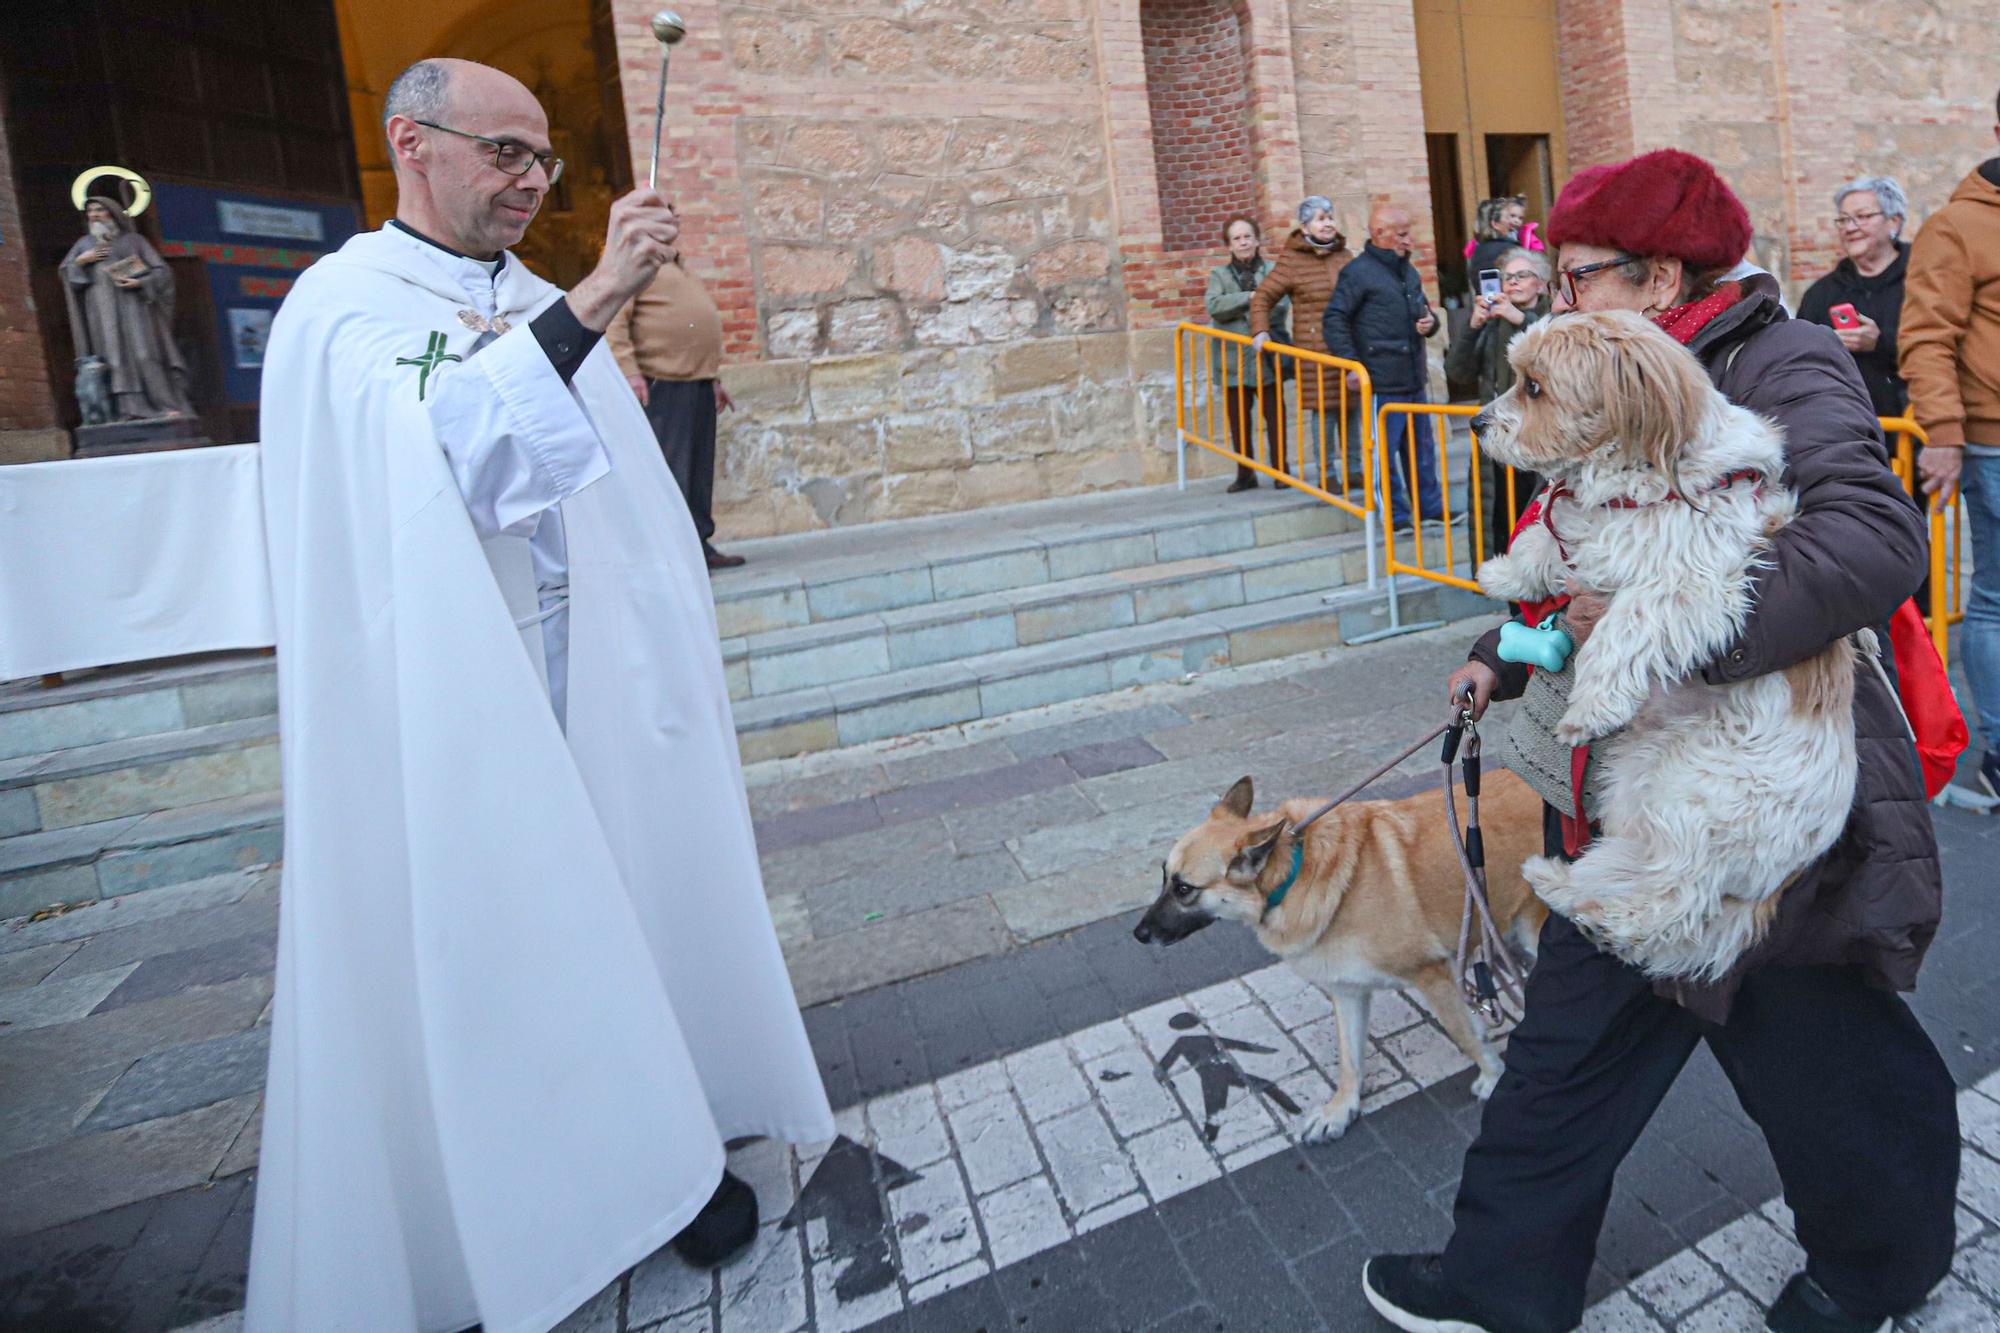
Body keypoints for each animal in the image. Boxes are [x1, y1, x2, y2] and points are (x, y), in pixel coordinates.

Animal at [1144, 764, 1544, 1136]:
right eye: (1164, 877)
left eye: (1184, 889)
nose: (1139, 933)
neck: (1292, 873)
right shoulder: (1347, 990)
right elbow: (1349, 1059)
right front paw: (1341, 1109)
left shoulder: (1433, 976)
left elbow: (1465, 1035)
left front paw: (1493, 1076)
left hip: (1531, 931)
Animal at [1472, 308, 1856, 976]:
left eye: (1534, 387)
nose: (1477, 422)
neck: (1642, 482)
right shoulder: (1596, 532)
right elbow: (1550, 539)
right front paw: (1506, 572)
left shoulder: (1693, 584)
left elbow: (1624, 625)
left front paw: (1589, 705)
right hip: (1637, 780)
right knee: (1637, 874)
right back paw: (1562, 884)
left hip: (1696, 805)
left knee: (1671, 903)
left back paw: (1591, 909)